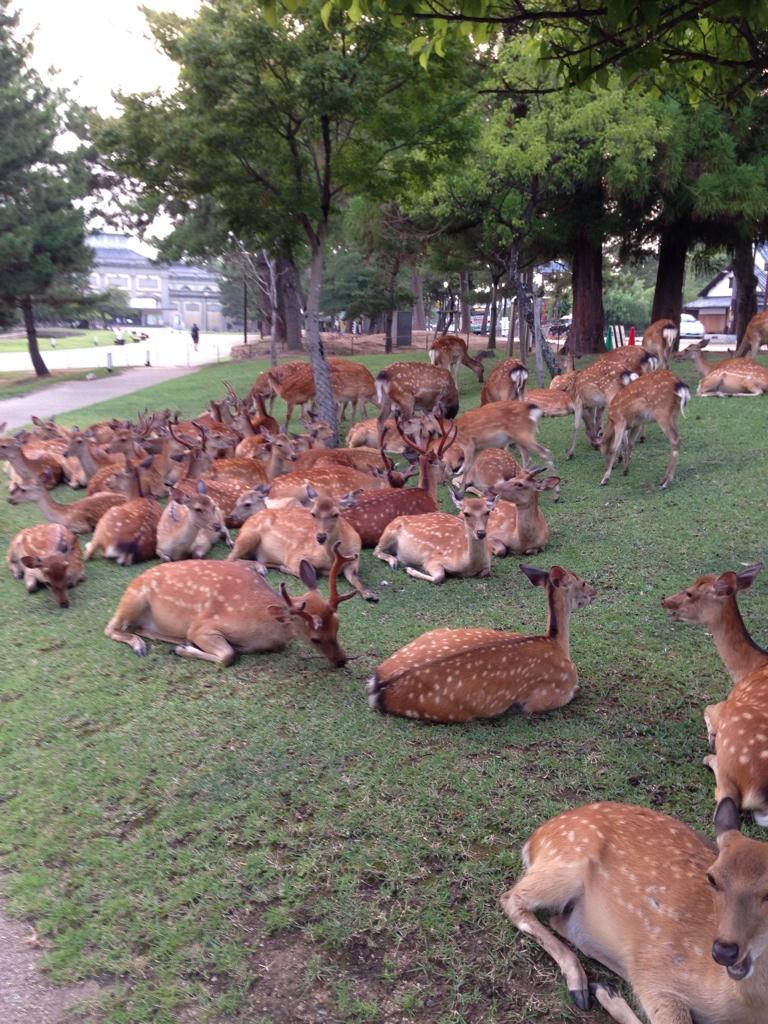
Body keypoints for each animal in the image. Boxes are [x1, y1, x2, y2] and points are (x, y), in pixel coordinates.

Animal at [105, 543, 357, 667]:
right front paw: (183, 649)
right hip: (133, 599)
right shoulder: (203, 627)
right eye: (315, 639)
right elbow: (227, 656)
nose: (341, 660)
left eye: (338, 626)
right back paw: (141, 646)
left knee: (140, 628)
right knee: (111, 627)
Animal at [227, 488, 378, 601]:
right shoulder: (296, 556)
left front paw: (370, 594)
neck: (331, 560)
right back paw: (262, 568)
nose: (320, 536)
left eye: (336, 514)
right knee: (230, 558)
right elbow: (311, 572)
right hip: (248, 535)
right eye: (313, 513)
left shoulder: (355, 559)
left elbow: (355, 577)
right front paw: (286, 568)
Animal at [369, 563, 595, 721]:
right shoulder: (546, 696)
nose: (595, 592)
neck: (557, 644)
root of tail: (376, 687)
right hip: (451, 711)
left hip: (433, 632)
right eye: (582, 582)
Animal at [501, 796, 768, 1024]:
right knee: (512, 899)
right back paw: (581, 985)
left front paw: (607, 992)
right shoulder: (657, 975)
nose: (724, 950)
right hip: (565, 864)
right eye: (711, 877)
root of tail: (534, 840)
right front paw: (608, 996)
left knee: (562, 923)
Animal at [662, 563, 768, 824]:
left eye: (690, 592)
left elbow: (708, 706)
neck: (748, 669)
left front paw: (711, 736)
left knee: (727, 795)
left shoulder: (727, 704)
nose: (665, 601)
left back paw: (710, 756)